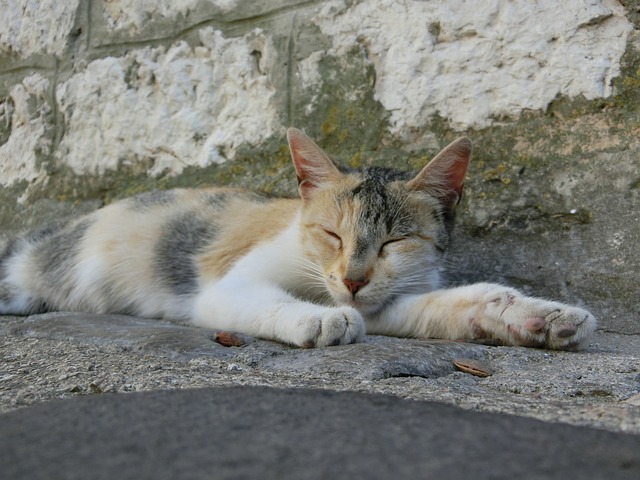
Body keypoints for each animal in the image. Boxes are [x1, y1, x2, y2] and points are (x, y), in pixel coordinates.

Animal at [0, 127, 596, 350]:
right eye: (331, 233)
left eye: (393, 243)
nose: (352, 280)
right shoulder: (227, 286)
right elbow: (265, 300)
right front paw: (318, 318)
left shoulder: (388, 298)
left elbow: (435, 306)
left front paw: (532, 315)